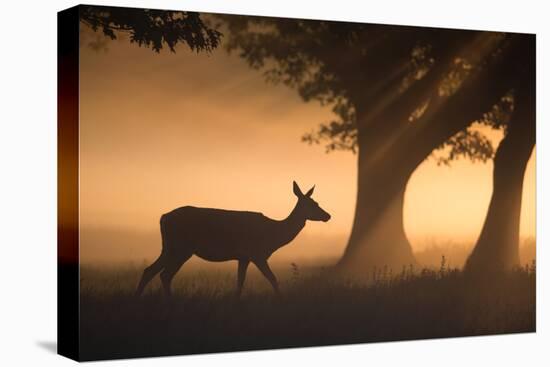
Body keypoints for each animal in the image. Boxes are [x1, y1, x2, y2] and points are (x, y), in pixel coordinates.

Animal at [136, 182, 332, 300]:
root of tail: (163, 218)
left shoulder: (243, 257)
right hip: (182, 247)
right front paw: (281, 299)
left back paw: (139, 298)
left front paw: (236, 302)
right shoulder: (257, 254)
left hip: (170, 247)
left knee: (150, 270)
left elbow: (240, 281)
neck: (273, 235)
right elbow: (272, 278)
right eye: (313, 204)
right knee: (165, 274)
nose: (328, 215)